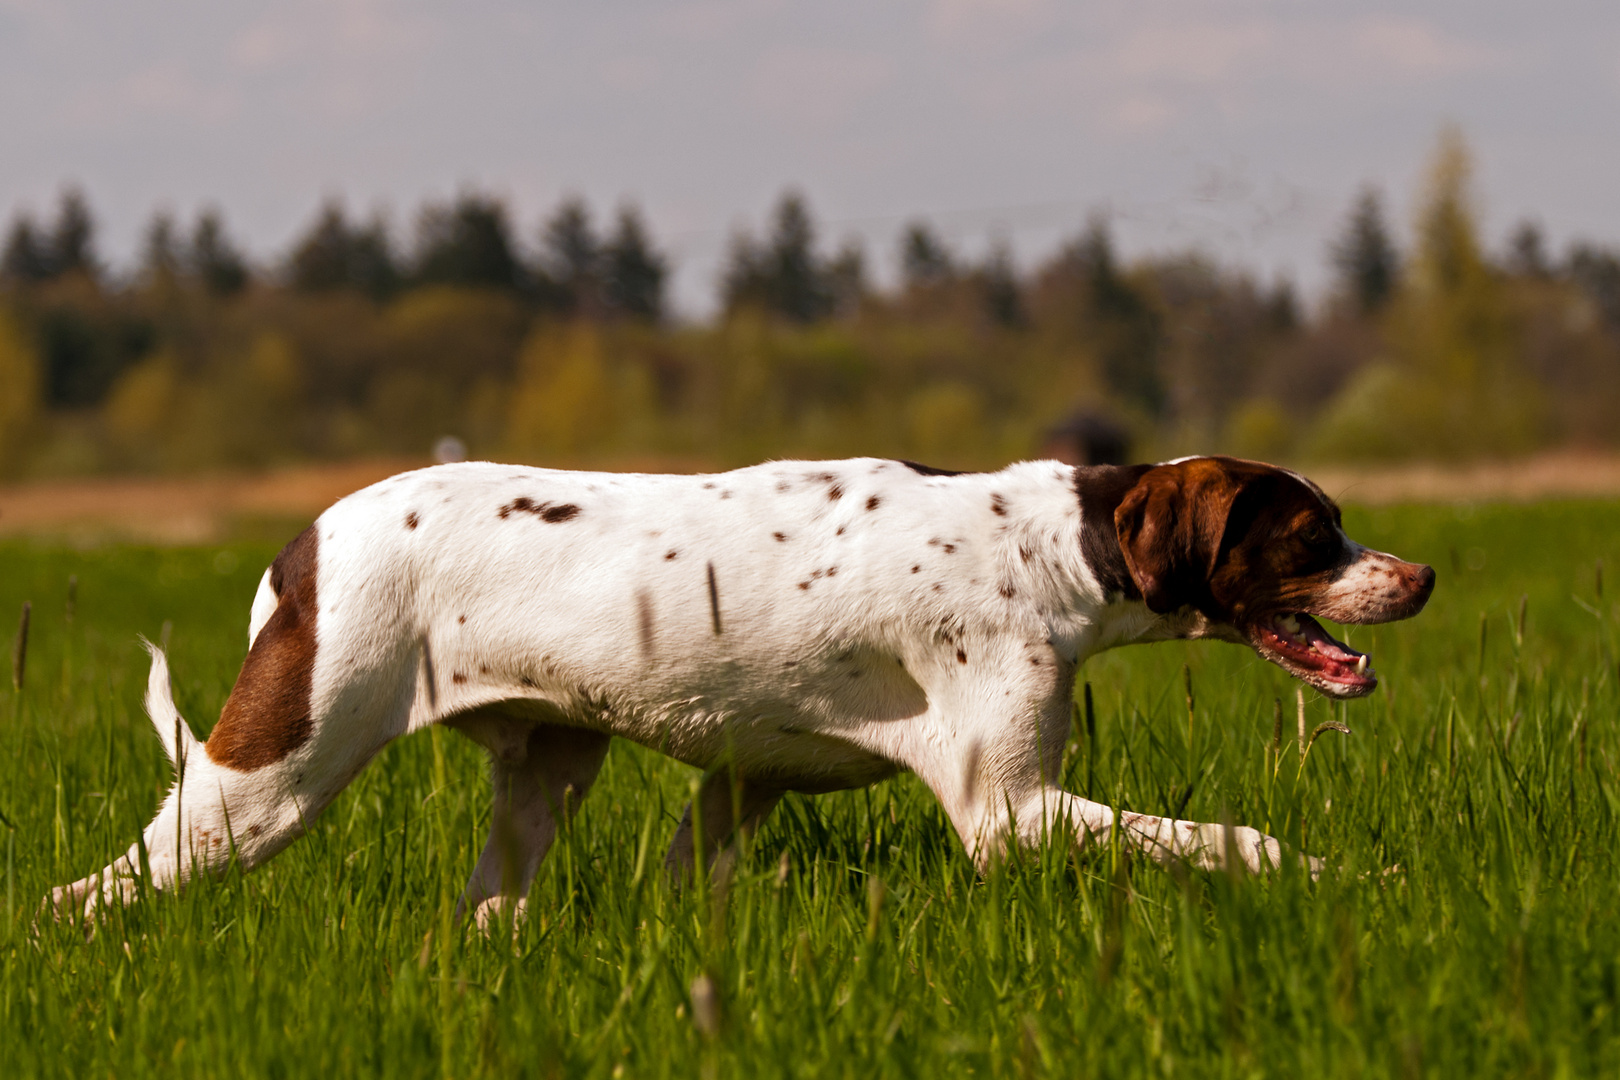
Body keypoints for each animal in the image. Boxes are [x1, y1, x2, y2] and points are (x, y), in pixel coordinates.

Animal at [50, 453, 1432, 919]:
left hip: (547, 780)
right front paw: (1344, 878)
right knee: (82, 896)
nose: (1419, 575)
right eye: (1313, 533)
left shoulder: (741, 783)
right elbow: (1235, 839)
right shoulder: (1014, 817)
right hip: (262, 787)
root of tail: (305, 542)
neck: (1051, 547)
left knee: (490, 911)